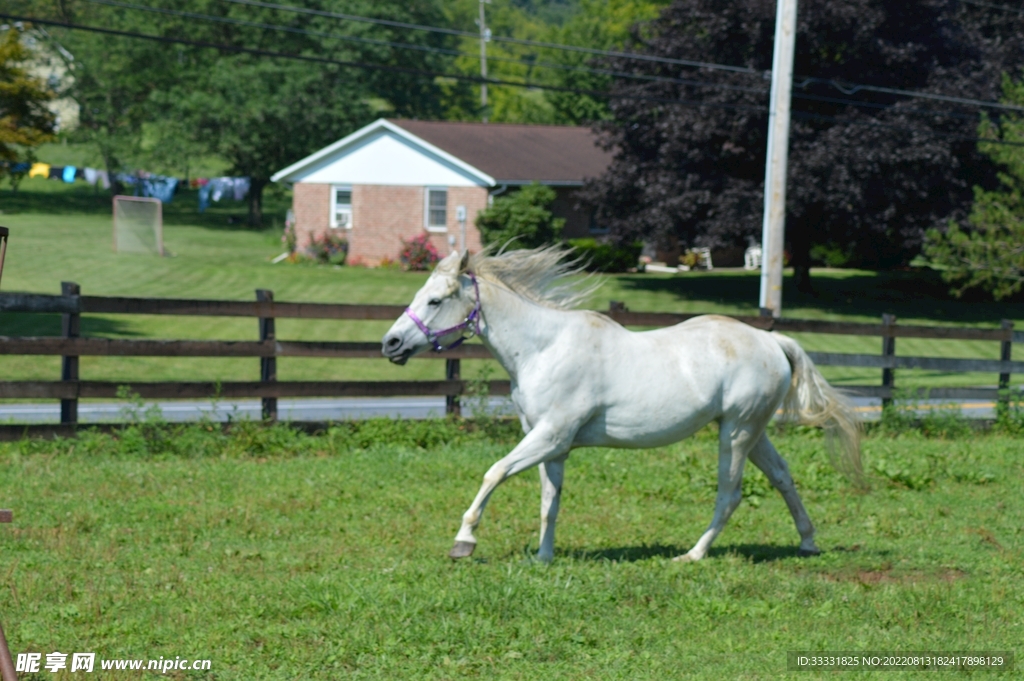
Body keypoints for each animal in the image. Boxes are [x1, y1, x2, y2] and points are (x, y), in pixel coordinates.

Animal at [381, 247, 862, 563]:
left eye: (435, 300)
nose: (391, 344)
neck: (544, 348)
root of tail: (772, 341)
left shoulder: (550, 435)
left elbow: (494, 473)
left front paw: (463, 542)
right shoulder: (551, 444)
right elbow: (549, 499)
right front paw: (543, 557)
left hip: (737, 433)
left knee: (731, 494)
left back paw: (691, 555)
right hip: (752, 430)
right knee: (782, 476)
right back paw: (808, 542)